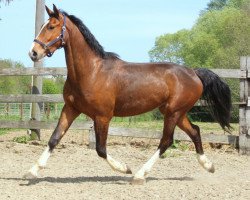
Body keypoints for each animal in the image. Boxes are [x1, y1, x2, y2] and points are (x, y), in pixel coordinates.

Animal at [24, 4, 231, 184]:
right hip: (176, 113)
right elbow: (54, 138)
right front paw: (32, 171)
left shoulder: (103, 116)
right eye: (43, 26)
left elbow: (100, 149)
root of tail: (194, 73)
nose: (33, 53)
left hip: (173, 113)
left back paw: (139, 175)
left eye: (51, 26)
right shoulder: (71, 109)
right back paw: (208, 166)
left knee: (166, 141)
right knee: (195, 131)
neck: (92, 72)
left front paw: (125, 168)